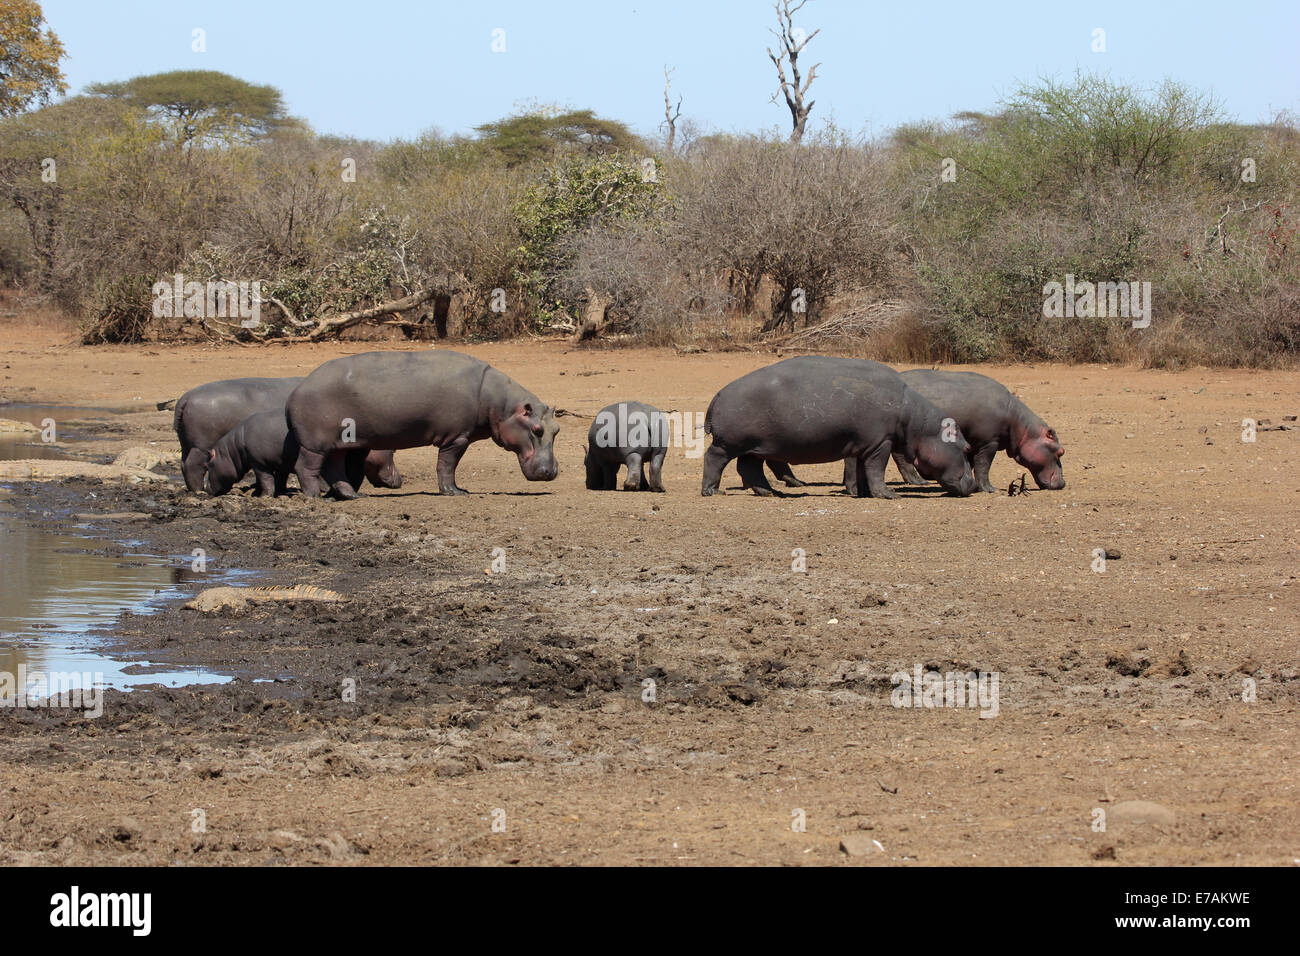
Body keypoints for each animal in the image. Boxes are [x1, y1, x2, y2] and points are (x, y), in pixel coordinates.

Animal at [204, 409, 401, 497]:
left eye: (207, 464)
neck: (233, 449)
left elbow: (265, 480)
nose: (204, 488)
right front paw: (279, 492)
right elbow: (279, 478)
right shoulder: (279, 462)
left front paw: (262, 496)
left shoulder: (258, 463)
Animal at [285, 350, 559, 499]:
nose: (551, 472)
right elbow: (447, 466)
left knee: (334, 469)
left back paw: (354, 495)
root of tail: (296, 391)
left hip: (340, 444)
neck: (499, 404)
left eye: (556, 430)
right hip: (315, 444)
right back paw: (315, 497)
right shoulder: (457, 437)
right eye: (537, 430)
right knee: (306, 467)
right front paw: (455, 492)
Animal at [701, 356, 977, 498]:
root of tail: (718, 394)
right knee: (713, 458)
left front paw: (861, 493)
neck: (919, 424)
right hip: (729, 444)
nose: (974, 486)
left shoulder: (863, 445)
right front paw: (888, 495)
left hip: (755, 446)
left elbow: (861, 469)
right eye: (965, 448)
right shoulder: (881, 443)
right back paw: (713, 492)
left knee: (749, 468)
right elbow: (876, 468)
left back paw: (770, 493)